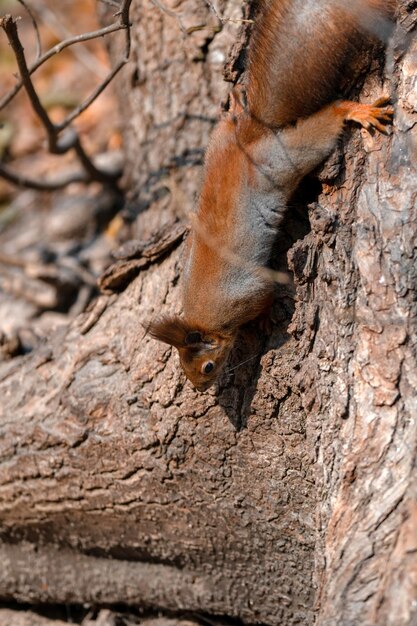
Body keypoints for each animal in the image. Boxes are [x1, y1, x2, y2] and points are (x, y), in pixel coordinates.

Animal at [148, 0, 394, 390]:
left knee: (328, 119)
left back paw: (355, 110)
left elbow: (265, 297)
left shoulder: (247, 294)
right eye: (185, 369)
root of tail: (253, 135)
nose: (201, 388)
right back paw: (235, 107)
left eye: (207, 367)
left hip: (290, 156)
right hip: (222, 141)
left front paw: (263, 321)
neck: (205, 317)